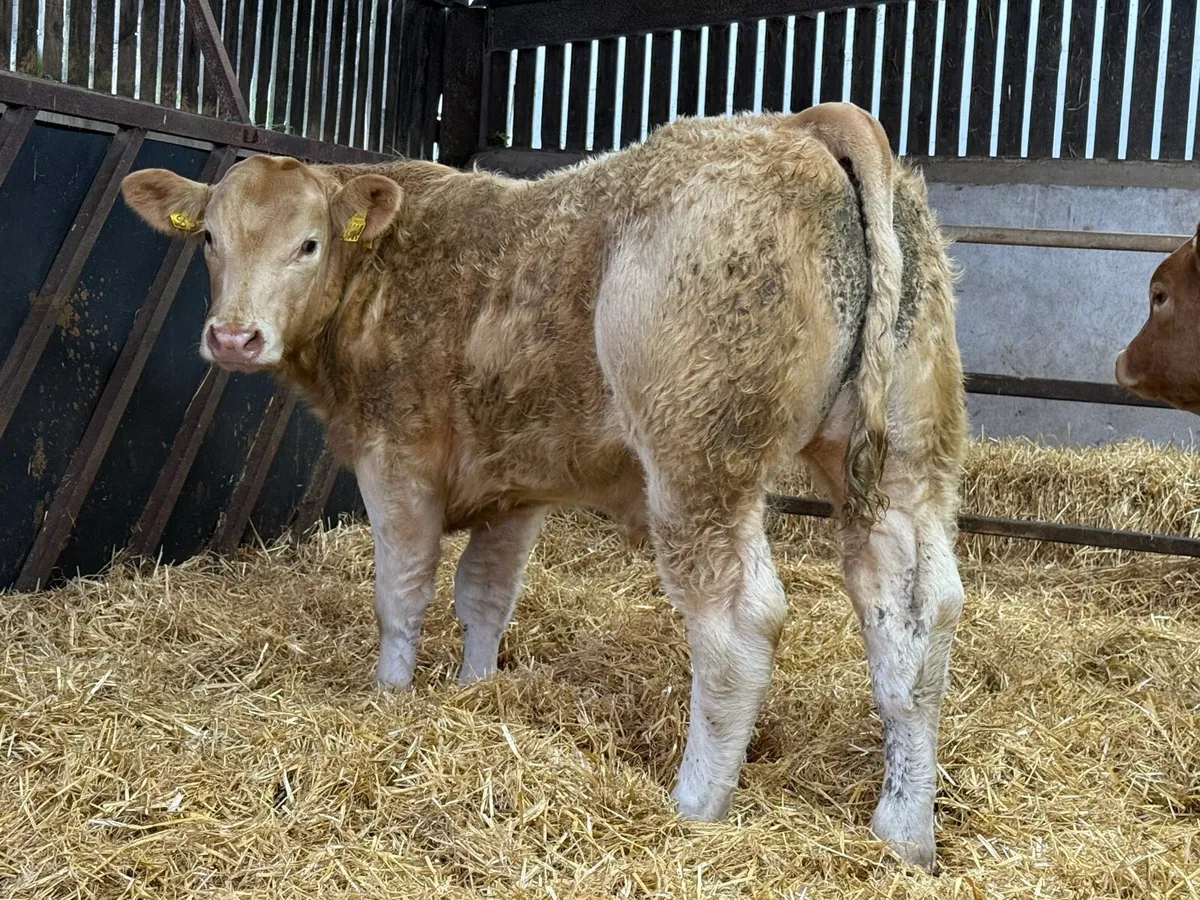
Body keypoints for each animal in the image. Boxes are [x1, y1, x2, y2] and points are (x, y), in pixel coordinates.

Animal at [120, 102, 966, 870]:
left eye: (309, 243)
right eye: (209, 238)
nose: (234, 337)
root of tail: (805, 121)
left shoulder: (396, 458)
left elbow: (402, 591)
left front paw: (390, 695)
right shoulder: (516, 487)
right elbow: (484, 597)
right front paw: (473, 691)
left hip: (699, 461)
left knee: (739, 623)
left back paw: (694, 808)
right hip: (904, 464)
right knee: (914, 615)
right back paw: (904, 833)